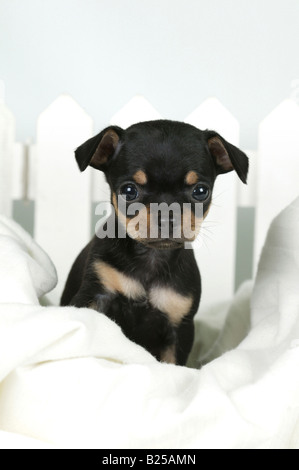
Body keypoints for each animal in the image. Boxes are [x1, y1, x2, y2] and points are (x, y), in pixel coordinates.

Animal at [61, 119, 248, 366]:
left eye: (201, 191)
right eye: (128, 191)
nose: (167, 216)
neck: (150, 257)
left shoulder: (179, 327)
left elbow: (172, 363)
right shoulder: (93, 298)